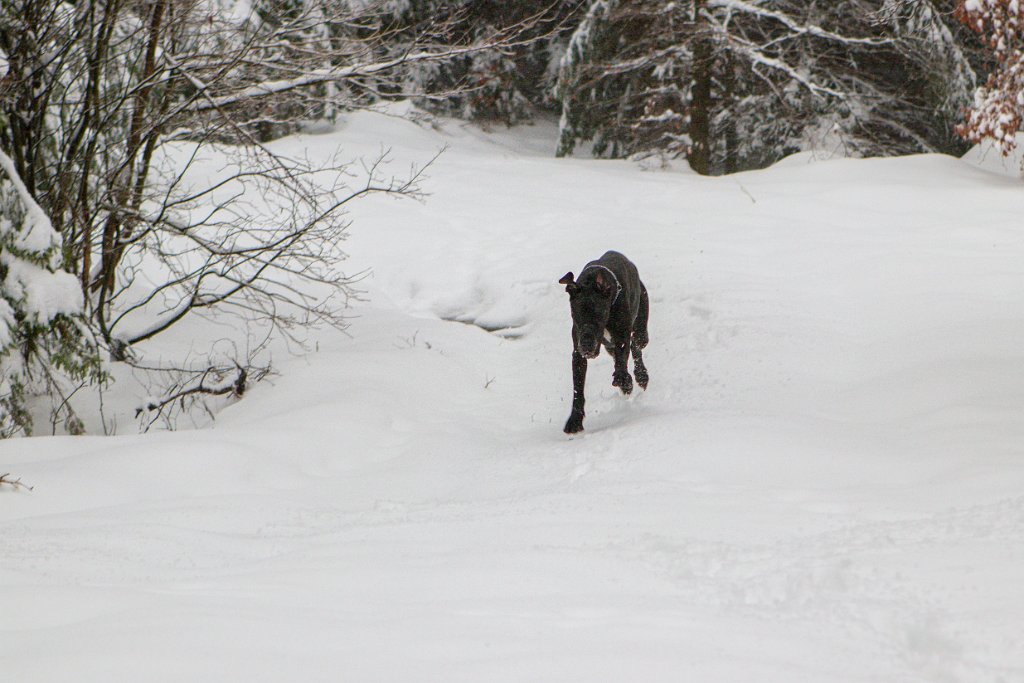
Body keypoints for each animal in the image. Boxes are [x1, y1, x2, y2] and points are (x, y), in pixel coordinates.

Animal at [561, 249, 647, 432]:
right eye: (575, 313)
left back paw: (641, 376)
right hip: (607, 345)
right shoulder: (577, 353)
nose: (586, 345)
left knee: (637, 345)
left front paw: (624, 380)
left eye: (598, 313)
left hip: (640, 326)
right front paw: (575, 420)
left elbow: (622, 357)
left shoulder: (621, 335)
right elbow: (578, 388)